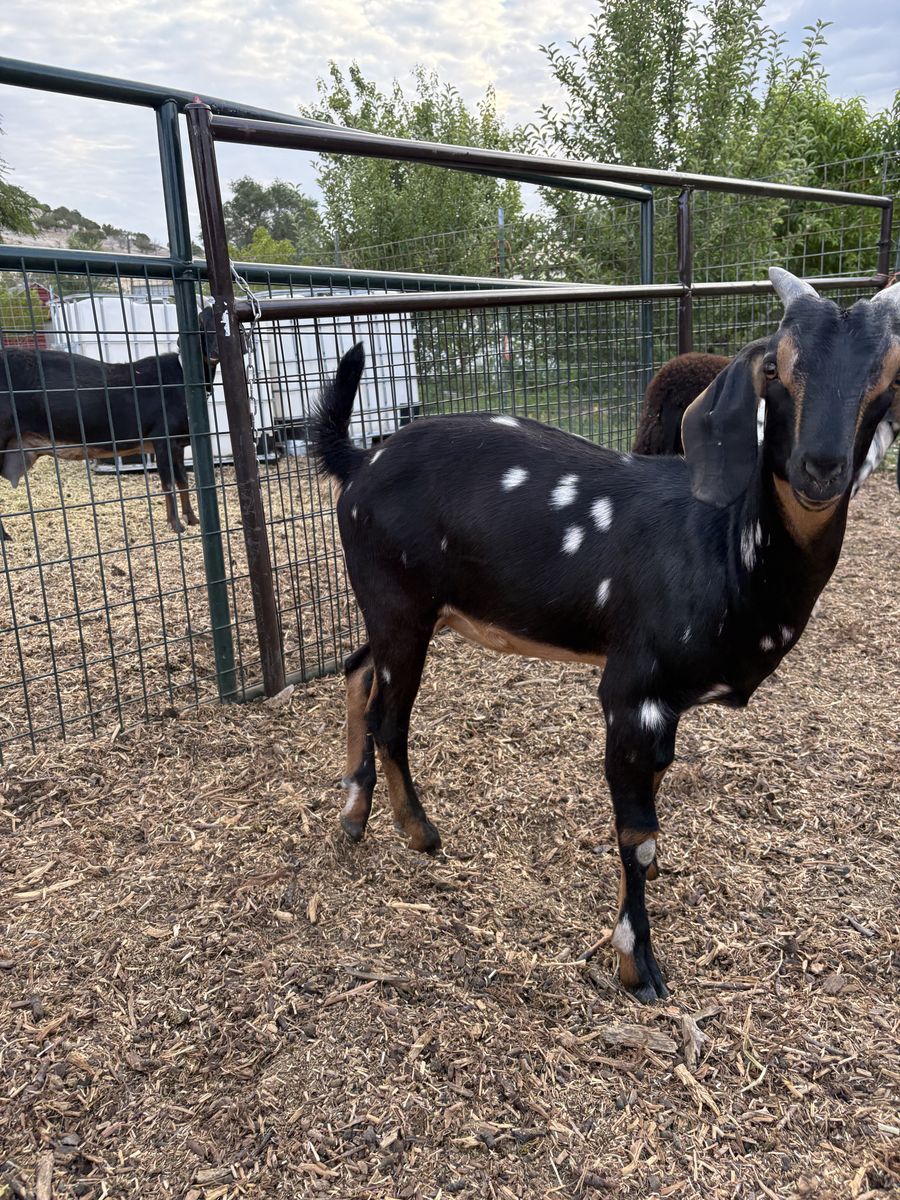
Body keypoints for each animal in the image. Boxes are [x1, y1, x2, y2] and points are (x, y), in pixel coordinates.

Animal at [0, 305, 222, 539]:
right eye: (201, 324)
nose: (215, 353)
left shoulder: (178, 443)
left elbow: (183, 480)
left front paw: (193, 519)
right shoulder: (161, 437)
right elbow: (168, 483)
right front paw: (176, 525)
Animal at [313, 268, 900, 1002]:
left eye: (888, 375)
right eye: (775, 367)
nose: (819, 467)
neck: (721, 546)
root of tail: (359, 461)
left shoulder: (667, 707)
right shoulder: (632, 691)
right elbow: (638, 834)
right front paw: (636, 965)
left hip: (404, 610)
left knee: (358, 672)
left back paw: (353, 814)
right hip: (400, 603)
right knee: (389, 712)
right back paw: (418, 832)